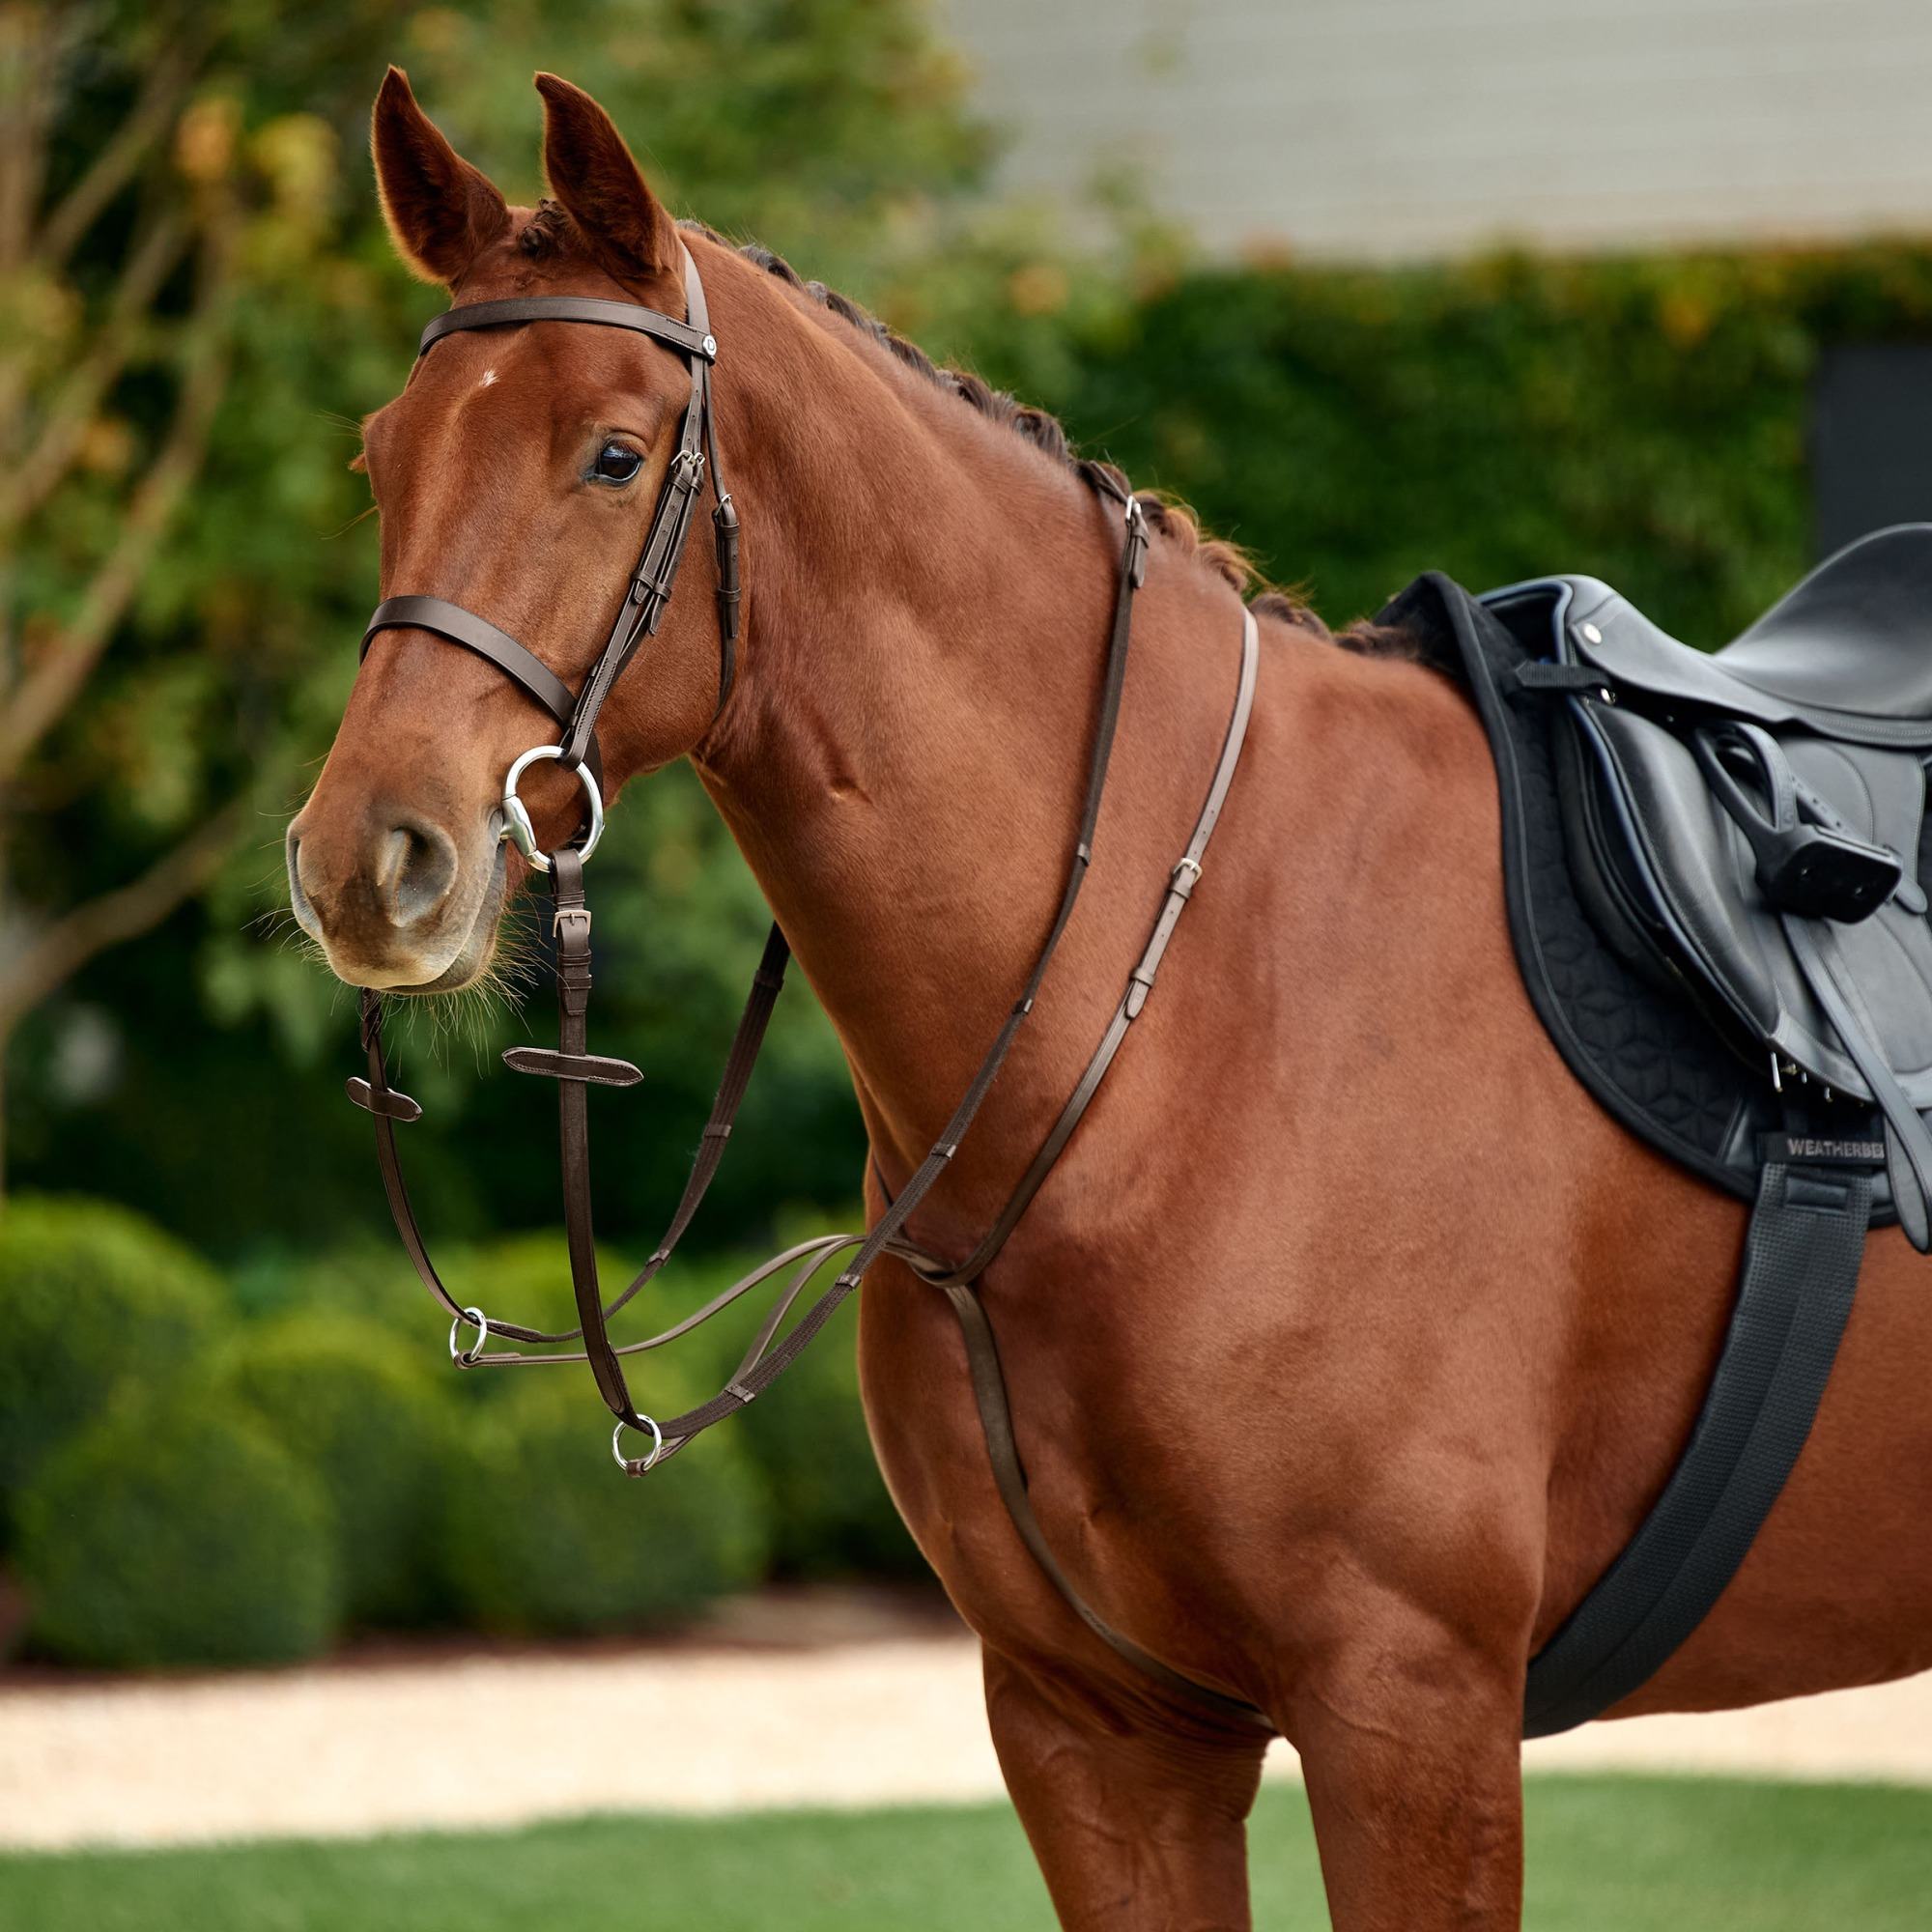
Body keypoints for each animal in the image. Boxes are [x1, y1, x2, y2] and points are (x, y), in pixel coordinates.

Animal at [286, 67, 1932, 1930]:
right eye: (380, 459)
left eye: (613, 456)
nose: (366, 861)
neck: (1180, 1035)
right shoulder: (1097, 1732)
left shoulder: (1410, 1712)